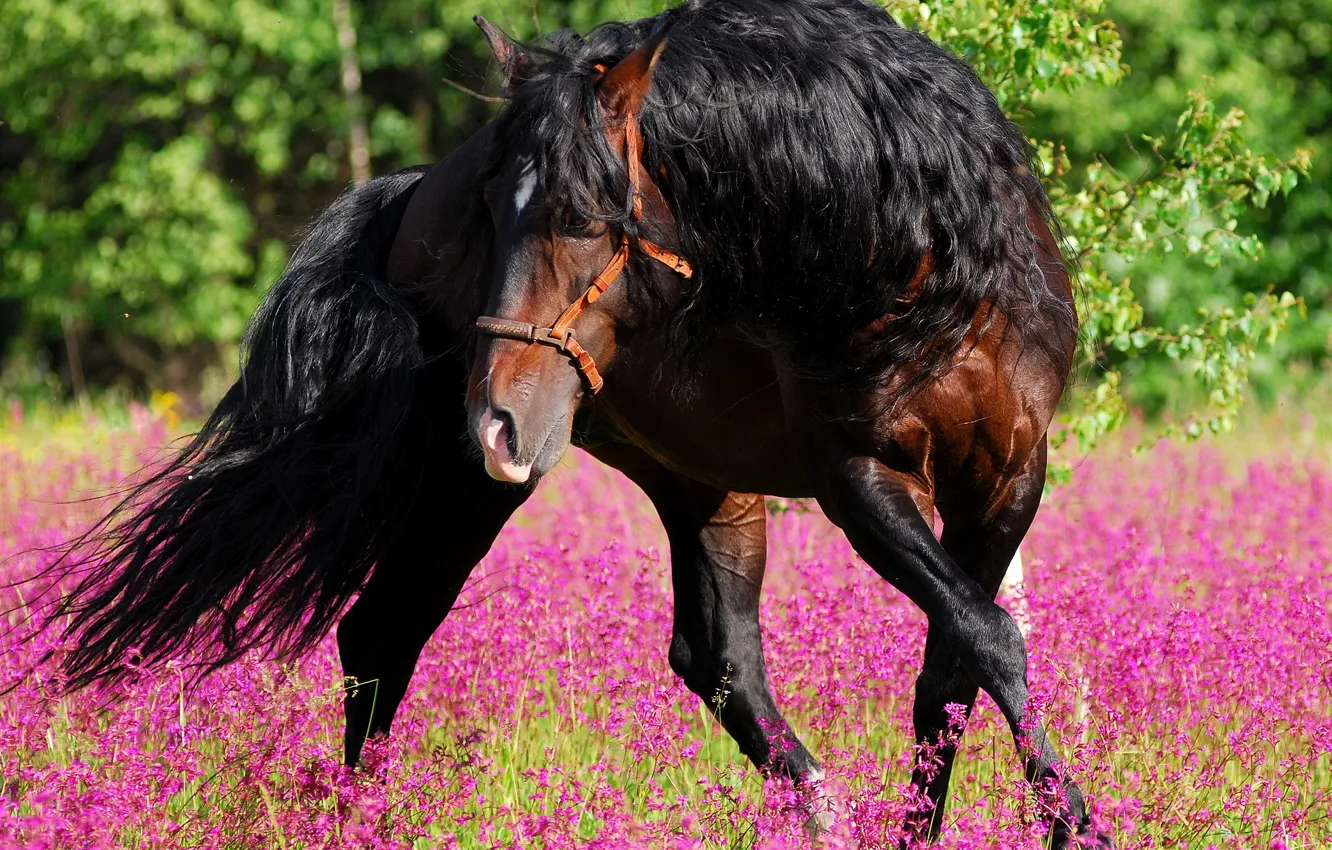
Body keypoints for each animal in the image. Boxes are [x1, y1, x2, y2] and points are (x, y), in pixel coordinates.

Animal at [33, 1, 1110, 846]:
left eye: (585, 217)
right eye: (491, 215)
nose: (493, 419)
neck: (910, 261)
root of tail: (407, 191)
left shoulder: (1007, 479)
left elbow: (956, 667)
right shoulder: (859, 480)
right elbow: (985, 640)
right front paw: (1080, 826)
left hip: (694, 477)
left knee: (719, 657)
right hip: (478, 485)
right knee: (384, 630)